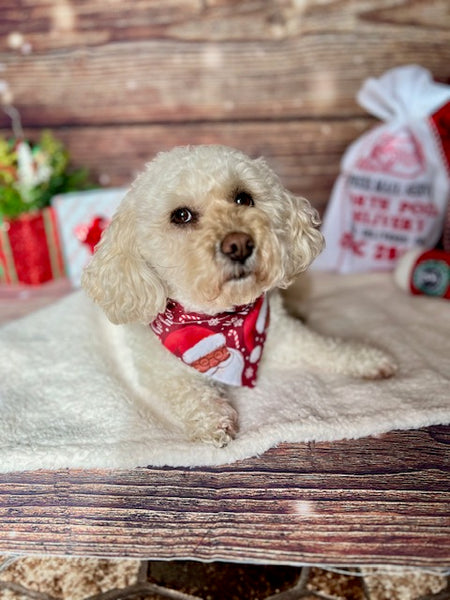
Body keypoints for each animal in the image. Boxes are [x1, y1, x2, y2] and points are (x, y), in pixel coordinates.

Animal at [82, 145, 396, 446]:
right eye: (181, 216)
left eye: (243, 198)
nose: (239, 244)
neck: (220, 318)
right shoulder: (162, 371)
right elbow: (189, 391)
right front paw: (212, 418)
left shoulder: (284, 336)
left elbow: (323, 346)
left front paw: (365, 358)